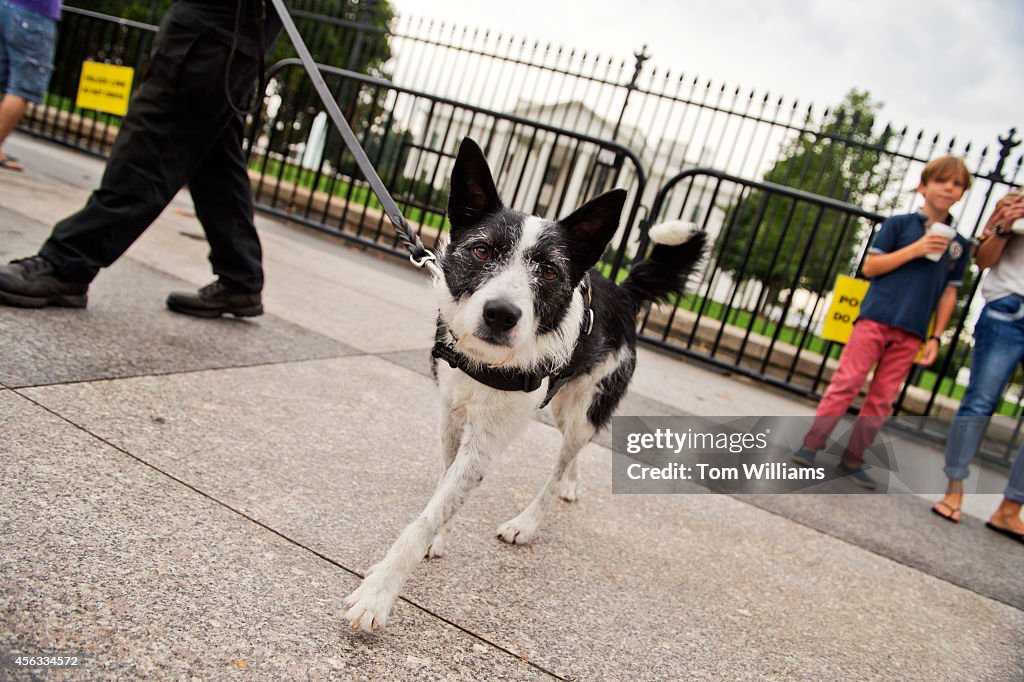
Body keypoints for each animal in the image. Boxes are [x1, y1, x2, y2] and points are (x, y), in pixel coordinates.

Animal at [344, 139, 704, 630]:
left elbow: (429, 514)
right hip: (561, 406)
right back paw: (571, 485)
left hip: (583, 407)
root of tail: (625, 292)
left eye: (549, 272)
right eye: (481, 252)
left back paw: (528, 522)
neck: (487, 361)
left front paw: (378, 594)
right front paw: (441, 534)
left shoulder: (487, 440)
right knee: (573, 456)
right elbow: (444, 485)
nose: (501, 313)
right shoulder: (450, 415)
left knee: (561, 463)